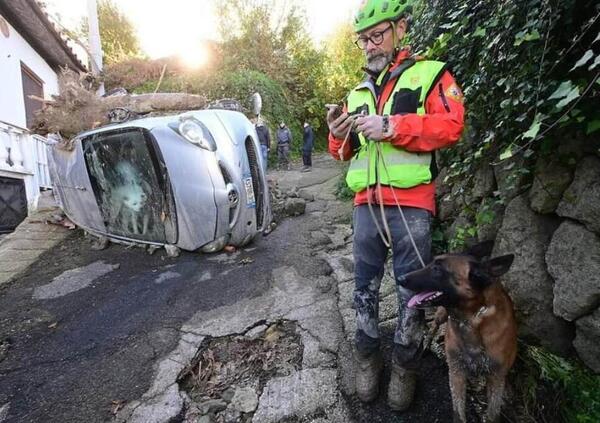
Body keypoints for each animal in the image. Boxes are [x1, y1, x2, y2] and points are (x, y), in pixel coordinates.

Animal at [398, 242, 516, 423]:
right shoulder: (456, 372)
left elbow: (492, 415)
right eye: (431, 264)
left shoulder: (496, 379)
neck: (472, 319)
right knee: (434, 326)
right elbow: (458, 413)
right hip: (440, 315)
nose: (400, 278)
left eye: (437, 269)